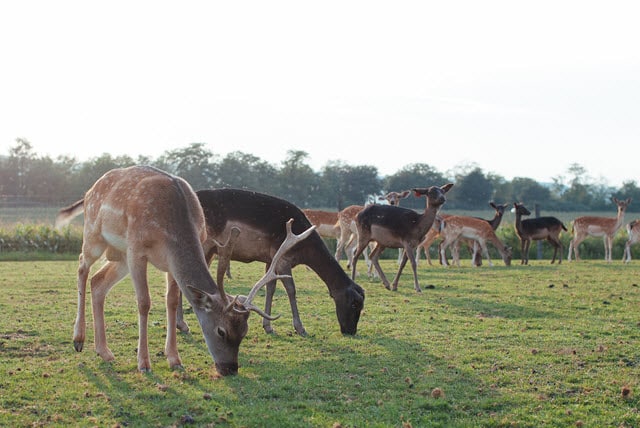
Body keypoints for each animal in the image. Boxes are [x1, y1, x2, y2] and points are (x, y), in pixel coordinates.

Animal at [55, 166, 316, 376]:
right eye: (221, 331)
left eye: (244, 332)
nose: (230, 369)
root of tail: (89, 191)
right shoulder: (137, 249)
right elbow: (144, 302)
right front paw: (144, 364)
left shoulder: (169, 263)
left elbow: (171, 301)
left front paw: (175, 359)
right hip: (95, 236)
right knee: (82, 266)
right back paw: (78, 339)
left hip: (119, 256)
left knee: (98, 282)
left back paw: (104, 352)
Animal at [175, 189, 364, 336]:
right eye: (354, 304)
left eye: (362, 306)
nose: (350, 331)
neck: (304, 248)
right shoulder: (283, 258)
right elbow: (291, 289)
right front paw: (300, 328)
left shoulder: (270, 260)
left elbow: (270, 288)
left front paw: (268, 326)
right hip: (203, 244)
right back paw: (182, 325)